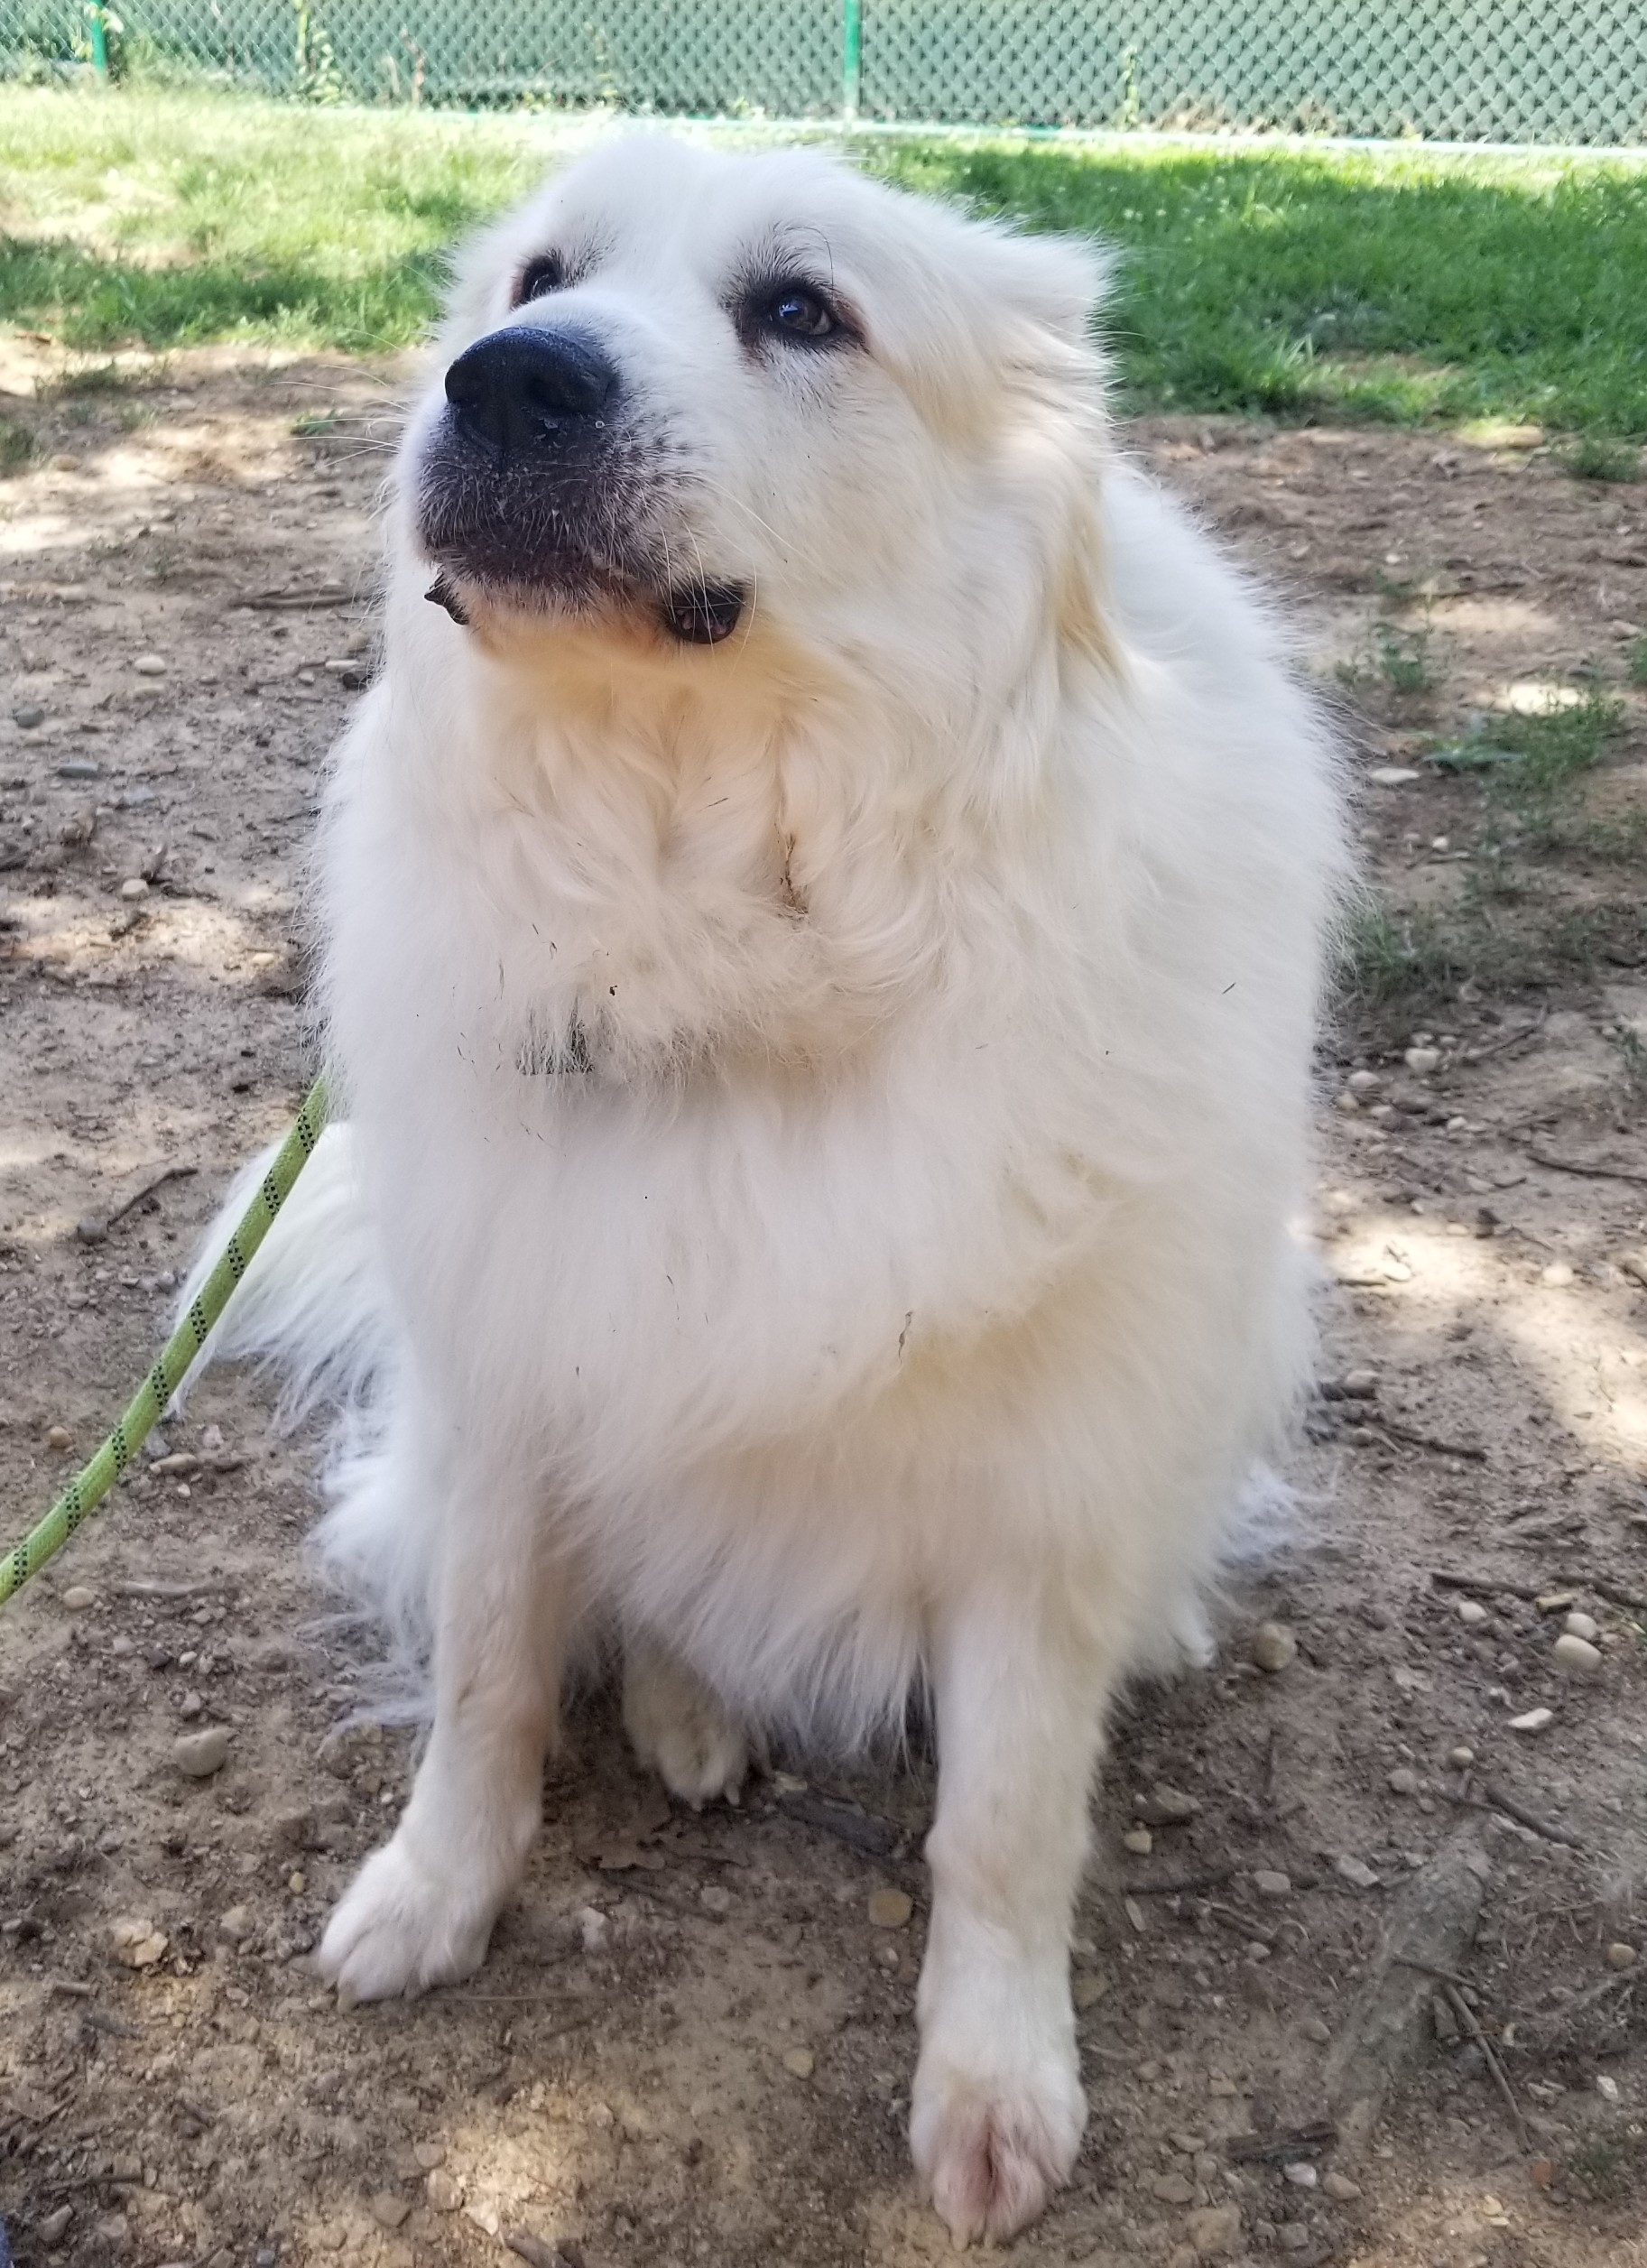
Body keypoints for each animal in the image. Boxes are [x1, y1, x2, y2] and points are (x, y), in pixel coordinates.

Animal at [196, 137, 1352, 2249]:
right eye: (537, 278)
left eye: (803, 310)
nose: (509, 382)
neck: (721, 925)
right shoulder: (512, 1380)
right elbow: (487, 1680)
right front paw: (431, 1892)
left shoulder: (1038, 1493)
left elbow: (1002, 1824)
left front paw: (994, 2083)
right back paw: (686, 1712)